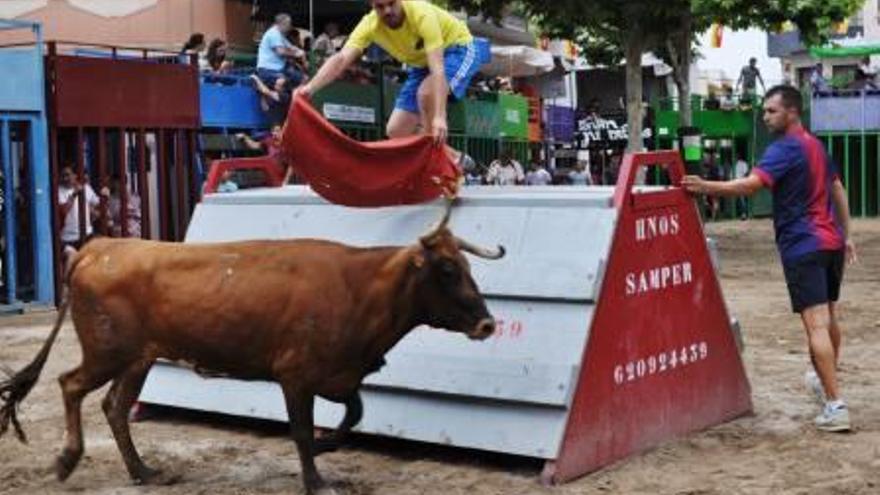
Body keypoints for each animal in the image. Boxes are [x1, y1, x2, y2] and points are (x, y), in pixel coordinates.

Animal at [0, 203, 506, 494]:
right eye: (446, 270)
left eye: (466, 267)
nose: (487, 322)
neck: (359, 287)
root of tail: (100, 247)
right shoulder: (295, 376)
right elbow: (301, 430)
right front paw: (316, 480)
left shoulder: (340, 375)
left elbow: (353, 416)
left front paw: (326, 447)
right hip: (107, 352)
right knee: (71, 385)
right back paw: (68, 459)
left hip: (138, 359)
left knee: (114, 407)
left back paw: (143, 471)